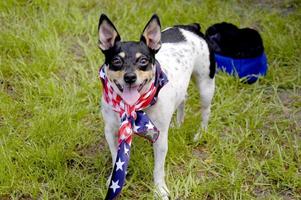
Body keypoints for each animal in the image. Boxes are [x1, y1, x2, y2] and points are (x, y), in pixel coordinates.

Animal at [97, 13, 214, 198]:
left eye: (143, 61)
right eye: (116, 60)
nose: (130, 77)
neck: (134, 107)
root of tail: (191, 27)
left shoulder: (160, 139)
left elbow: (158, 169)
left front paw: (160, 190)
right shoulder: (111, 131)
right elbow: (116, 156)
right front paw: (112, 180)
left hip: (205, 85)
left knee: (205, 111)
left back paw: (200, 133)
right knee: (183, 99)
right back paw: (178, 124)